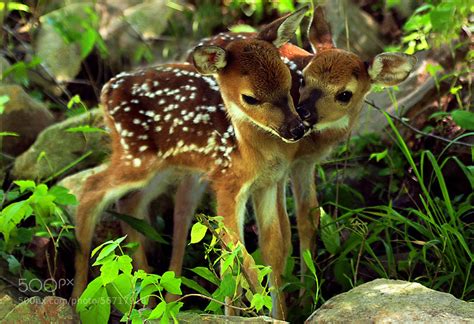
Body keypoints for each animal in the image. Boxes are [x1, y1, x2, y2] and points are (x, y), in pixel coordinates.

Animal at [68, 6, 310, 318]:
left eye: (288, 82)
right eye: (250, 98)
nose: (296, 129)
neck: (249, 152)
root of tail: (107, 89)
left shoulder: (268, 184)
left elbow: (273, 251)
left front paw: (276, 314)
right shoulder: (226, 183)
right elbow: (238, 255)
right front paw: (254, 307)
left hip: (163, 166)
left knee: (128, 202)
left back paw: (146, 297)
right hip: (136, 156)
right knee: (90, 189)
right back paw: (78, 297)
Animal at [116, 4, 416, 316]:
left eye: (345, 94)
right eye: (304, 78)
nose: (304, 114)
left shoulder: (303, 165)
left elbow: (307, 219)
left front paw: (305, 297)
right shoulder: (280, 168)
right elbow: (280, 233)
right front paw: (279, 303)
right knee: (177, 207)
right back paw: (166, 299)